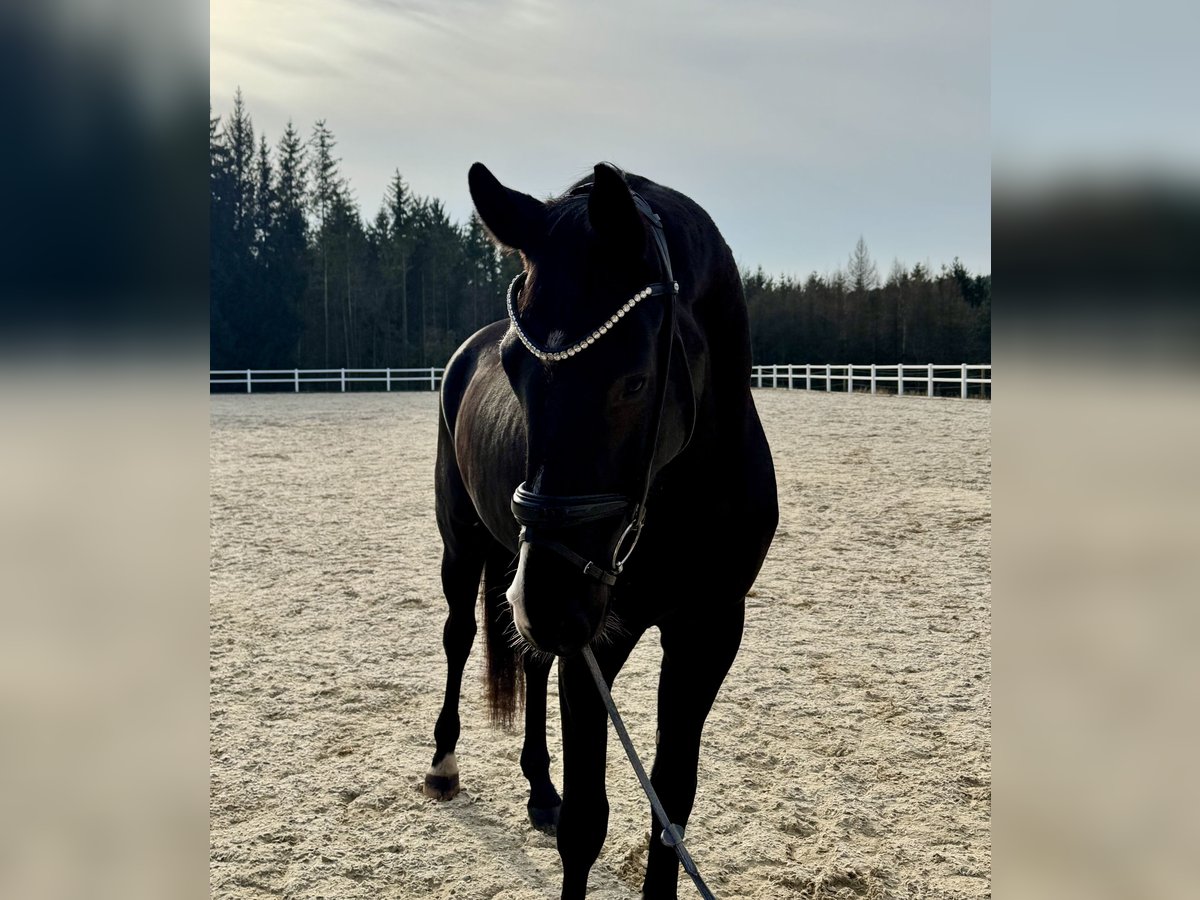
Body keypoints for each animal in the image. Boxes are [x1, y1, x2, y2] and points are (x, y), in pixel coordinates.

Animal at [422, 164, 777, 900]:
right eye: (516, 366)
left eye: (635, 381)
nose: (550, 604)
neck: (685, 497)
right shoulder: (597, 643)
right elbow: (587, 822)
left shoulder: (708, 632)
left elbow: (673, 802)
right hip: (471, 551)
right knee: (460, 636)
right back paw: (443, 765)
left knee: (528, 660)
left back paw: (538, 790)